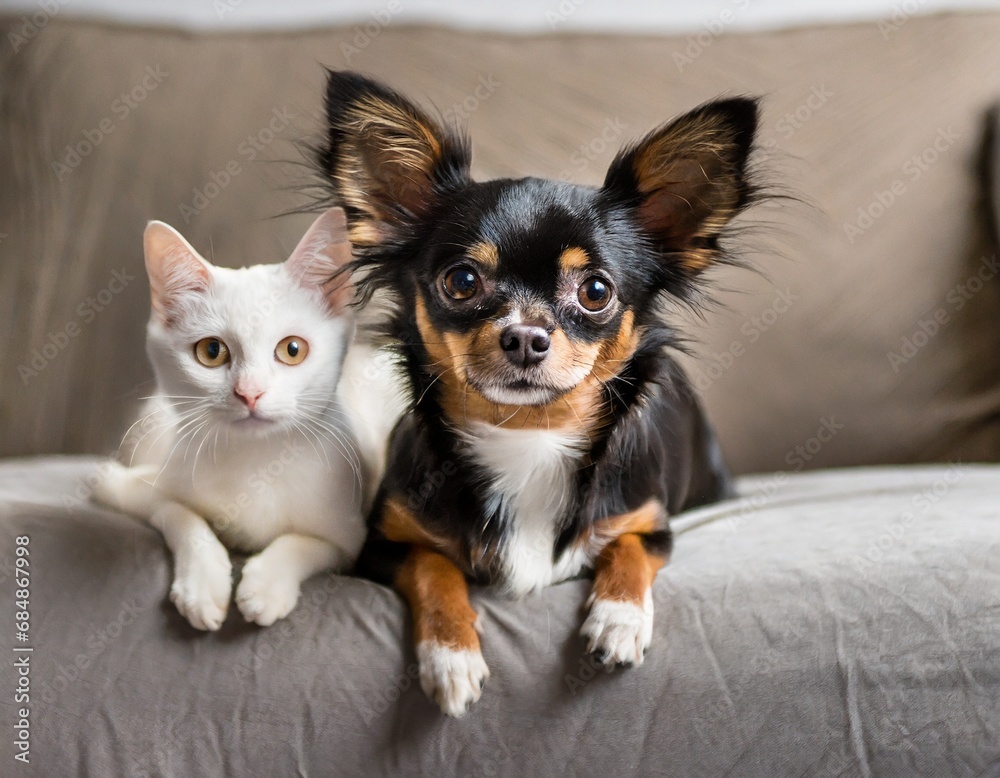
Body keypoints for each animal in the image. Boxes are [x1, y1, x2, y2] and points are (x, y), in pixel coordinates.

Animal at [93, 208, 368, 632]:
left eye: (292, 349)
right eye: (211, 351)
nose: (249, 392)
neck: (253, 459)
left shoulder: (351, 539)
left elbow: (308, 544)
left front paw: (267, 584)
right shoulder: (156, 483)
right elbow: (172, 510)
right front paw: (203, 583)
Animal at [320, 69, 756, 712]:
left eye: (596, 291)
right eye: (461, 281)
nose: (525, 336)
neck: (529, 433)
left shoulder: (651, 524)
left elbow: (627, 551)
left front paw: (619, 620)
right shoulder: (383, 545)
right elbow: (434, 569)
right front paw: (450, 656)